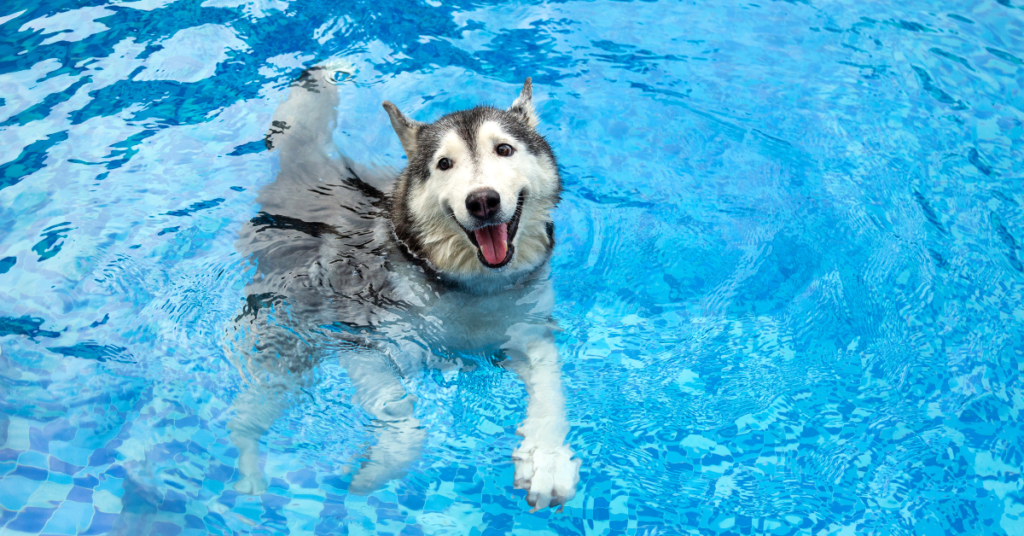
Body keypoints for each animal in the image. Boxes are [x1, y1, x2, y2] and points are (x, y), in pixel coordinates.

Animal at [227, 67, 585, 512]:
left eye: (504, 149)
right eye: (444, 163)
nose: (482, 201)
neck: (471, 285)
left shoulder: (529, 333)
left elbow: (552, 391)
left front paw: (547, 459)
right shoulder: (360, 337)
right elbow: (400, 411)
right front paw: (380, 465)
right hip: (288, 348)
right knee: (249, 410)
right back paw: (248, 470)